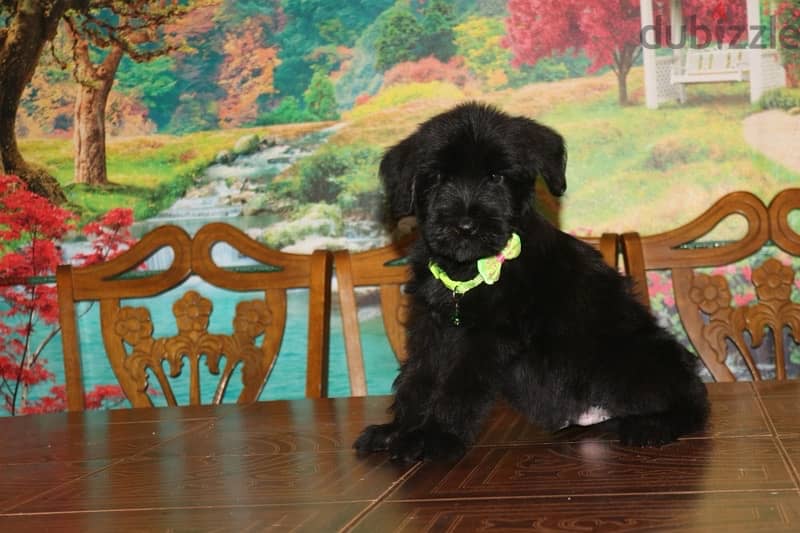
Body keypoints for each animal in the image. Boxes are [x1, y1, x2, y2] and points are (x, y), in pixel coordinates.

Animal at [354, 102, 708, 464]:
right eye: (438, 177)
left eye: (496, 176)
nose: (465, 226)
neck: (465, 272)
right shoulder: (429, 325)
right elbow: (417, 377)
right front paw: (398, 430)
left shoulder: (487, 336)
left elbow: (459, 384)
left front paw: (435, 437)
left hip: (631, 356)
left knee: (692, 399)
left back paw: (652, 426)